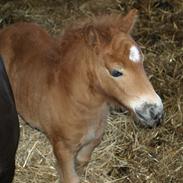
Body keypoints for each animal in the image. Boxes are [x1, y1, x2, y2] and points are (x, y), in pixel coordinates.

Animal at [0, 9, 163, 183]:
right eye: (115, 72)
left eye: (142, 61)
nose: (155, 111)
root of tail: (8, 30)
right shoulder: (62, 148)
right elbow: (70, 177)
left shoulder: (93, 139)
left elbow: (82, 162)